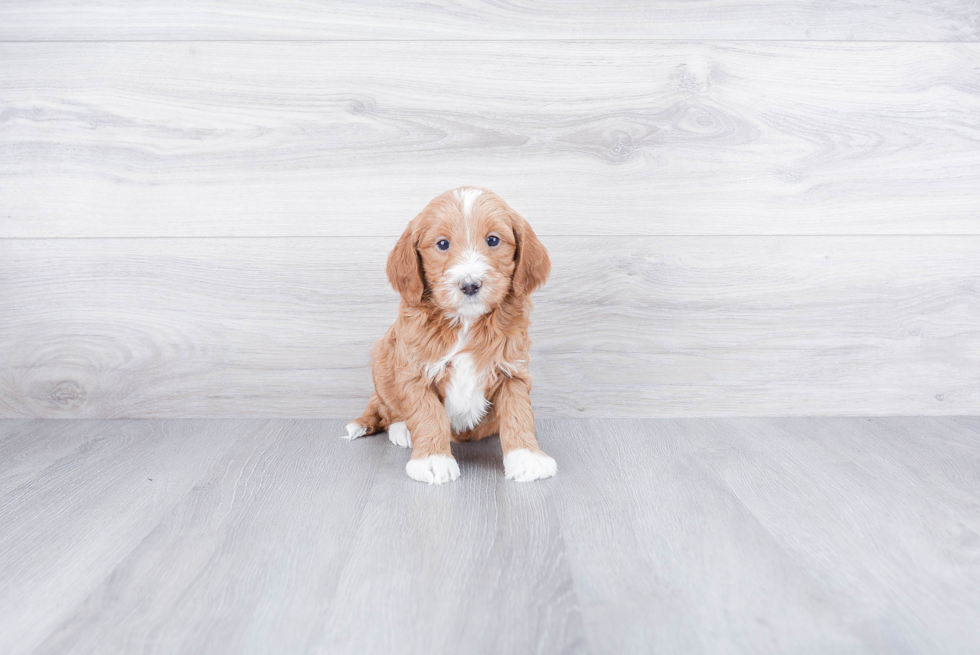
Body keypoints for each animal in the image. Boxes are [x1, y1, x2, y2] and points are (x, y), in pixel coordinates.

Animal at [340, 187, 556, 484]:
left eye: (492, 240)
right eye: (442, 244)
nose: (470, 284)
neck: (465, 321)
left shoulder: (513, 370)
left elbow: (518, 412)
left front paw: (527, 457)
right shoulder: (414, 371)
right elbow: (428, 414)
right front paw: (433, 460)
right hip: (382, 361)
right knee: (386, 408)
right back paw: (401, 429)